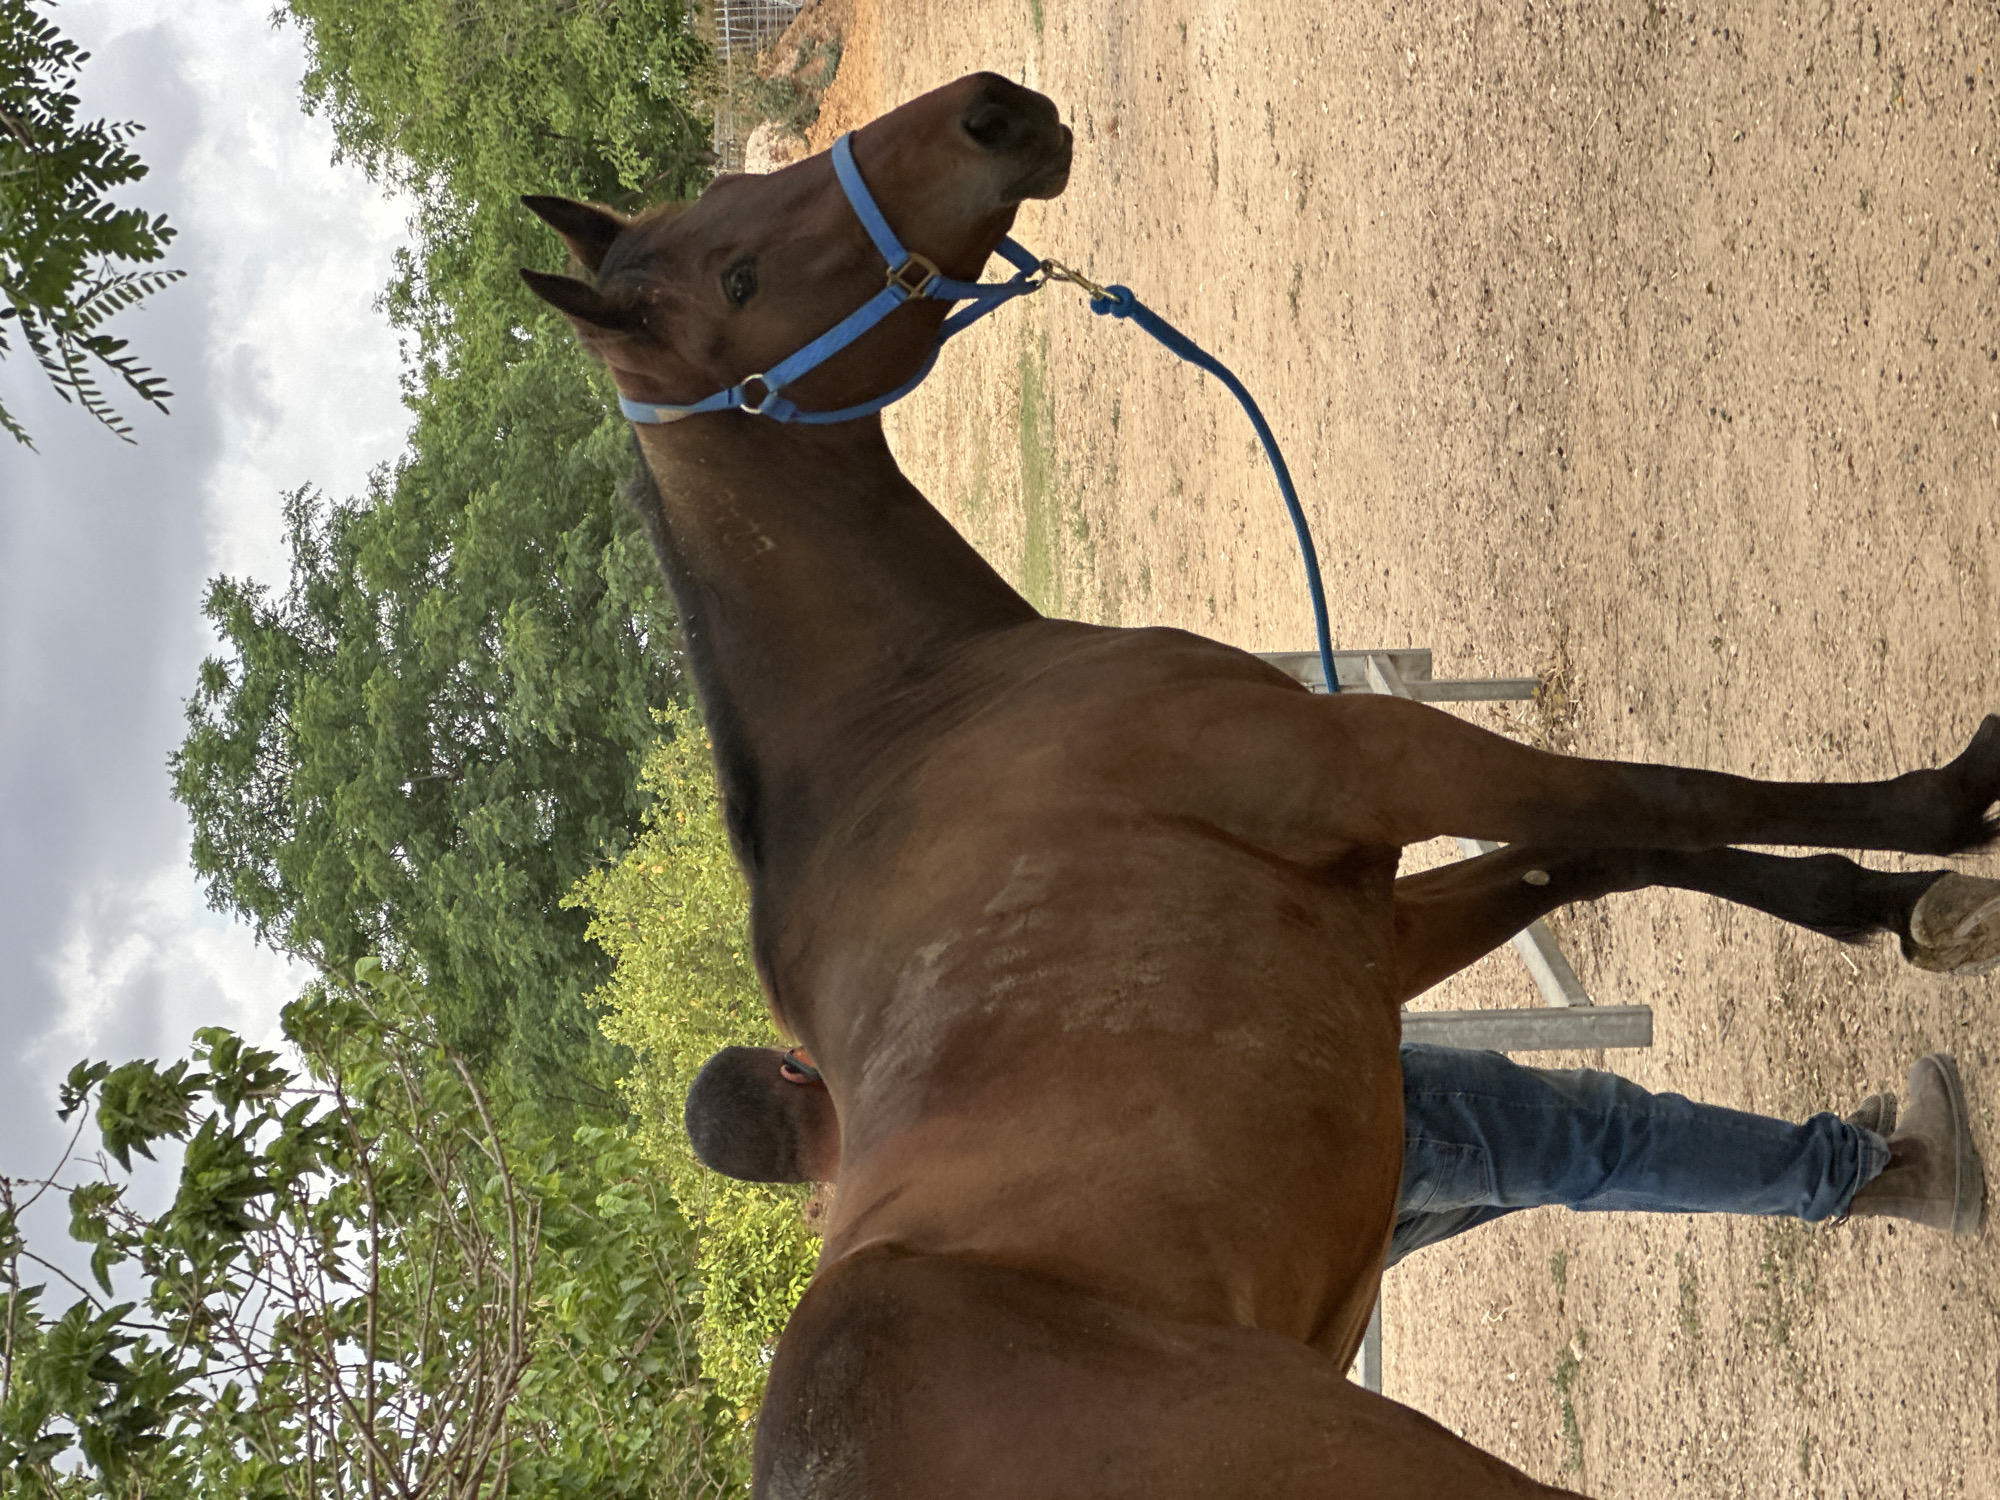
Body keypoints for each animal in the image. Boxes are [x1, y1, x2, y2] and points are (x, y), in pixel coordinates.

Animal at [521, 73, 2000, 1499]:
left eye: (736, 201)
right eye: (737, 279)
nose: (993, 108)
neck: (926, 704)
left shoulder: (1372, 917)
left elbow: (1604, 850)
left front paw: (1898, 910)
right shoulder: (1381, 759)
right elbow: (1665, 799)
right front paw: (1952, 807)